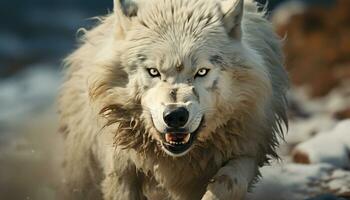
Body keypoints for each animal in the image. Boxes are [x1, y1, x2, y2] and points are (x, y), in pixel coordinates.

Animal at [58, 0, 288, 199]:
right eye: (153, 71)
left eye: (201, 72)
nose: (175, 116)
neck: (177, 159)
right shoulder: (121, 167)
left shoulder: (249, 149)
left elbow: (228, 184)